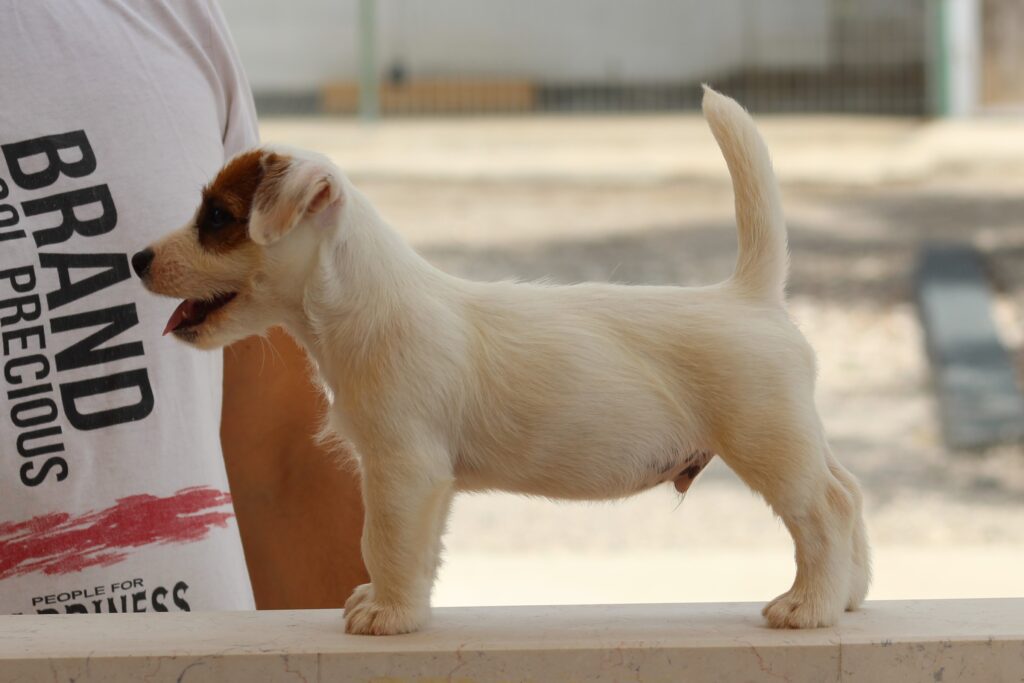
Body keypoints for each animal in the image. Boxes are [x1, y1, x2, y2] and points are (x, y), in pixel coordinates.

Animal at [134, 88, 872, 638]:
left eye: (218, 217)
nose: (137, 259)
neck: (364, 304)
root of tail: (751, 294)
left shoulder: (403, 468)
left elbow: (386, 538)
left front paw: (388, 613)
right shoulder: (421, 480)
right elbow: (418, 548)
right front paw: (394, 602)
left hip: (766, 443)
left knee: (826, 507)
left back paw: (807, 606)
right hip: (791, 439)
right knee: (849, 490)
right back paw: (849, 594)